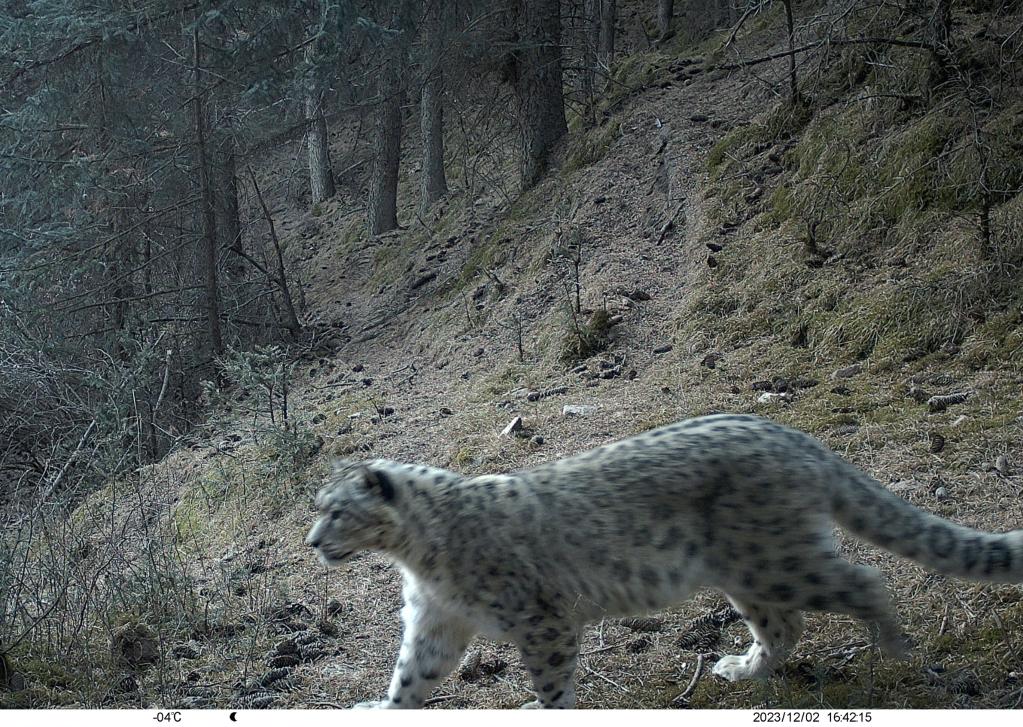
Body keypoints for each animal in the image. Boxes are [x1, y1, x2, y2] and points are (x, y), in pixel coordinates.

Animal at [302, 415, 1023, 711]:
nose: (311, 541)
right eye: (317, 507)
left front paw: (547, 708)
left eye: (336, 510)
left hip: (779, 559)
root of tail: (793, 436)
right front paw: (382, 706)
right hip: (748, 569)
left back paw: (895, 645)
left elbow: (552, 680)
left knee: (862, 579)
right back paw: (740, 668)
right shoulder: (434, 622)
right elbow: (411, 676)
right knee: (783, 625)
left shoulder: (540, 619)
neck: (419, 561)